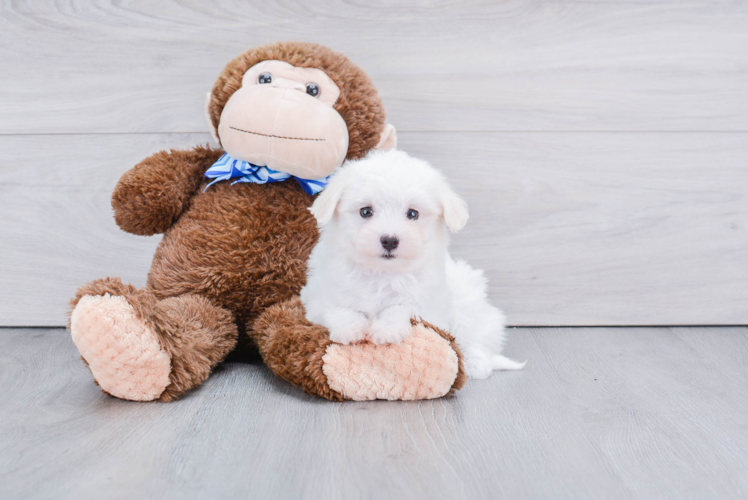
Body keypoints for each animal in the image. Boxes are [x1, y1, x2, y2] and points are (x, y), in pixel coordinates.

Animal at [300, 150, 524, 376]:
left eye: (413, 214)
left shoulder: (429, 306)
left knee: (476, 335)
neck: (383, 272)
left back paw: (476, 363)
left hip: (467, 300)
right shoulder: (317, 297)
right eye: (365, 211)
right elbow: (338, 309)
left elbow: (401, 307)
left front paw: (386, 330)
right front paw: (351, 329)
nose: (389, 240)